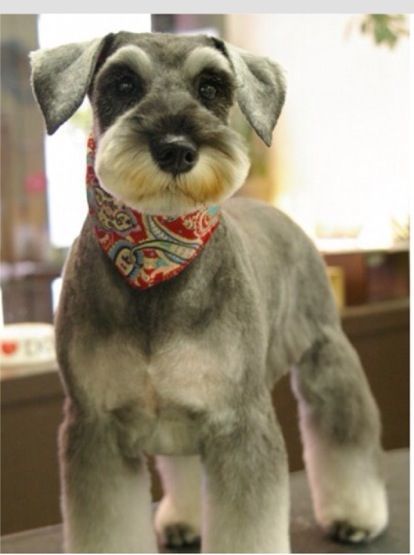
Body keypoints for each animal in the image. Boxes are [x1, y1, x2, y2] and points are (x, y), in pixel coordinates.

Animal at [31, 32, 388, 552]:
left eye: (211, 86)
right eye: (123, 82)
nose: (176, 149)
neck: (156, 266)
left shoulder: (239, 422)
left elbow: (249, 525)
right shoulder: (95, 425)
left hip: (327, 359)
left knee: (345, 435)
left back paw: (355, 514)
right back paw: (184, 520)